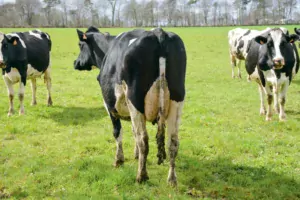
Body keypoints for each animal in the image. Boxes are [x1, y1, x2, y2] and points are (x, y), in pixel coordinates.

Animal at [73, 26, 186, 186]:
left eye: (80, 45)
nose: (75, 62)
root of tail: (159, 32)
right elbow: (133, 131)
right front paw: (136, 155)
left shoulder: (110, 106)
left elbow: (117, 132)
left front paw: (119, 160)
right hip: (177, 99)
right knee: (173, 141)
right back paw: (171, 179)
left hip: (135, 100)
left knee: (143, 139)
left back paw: (141, 176)